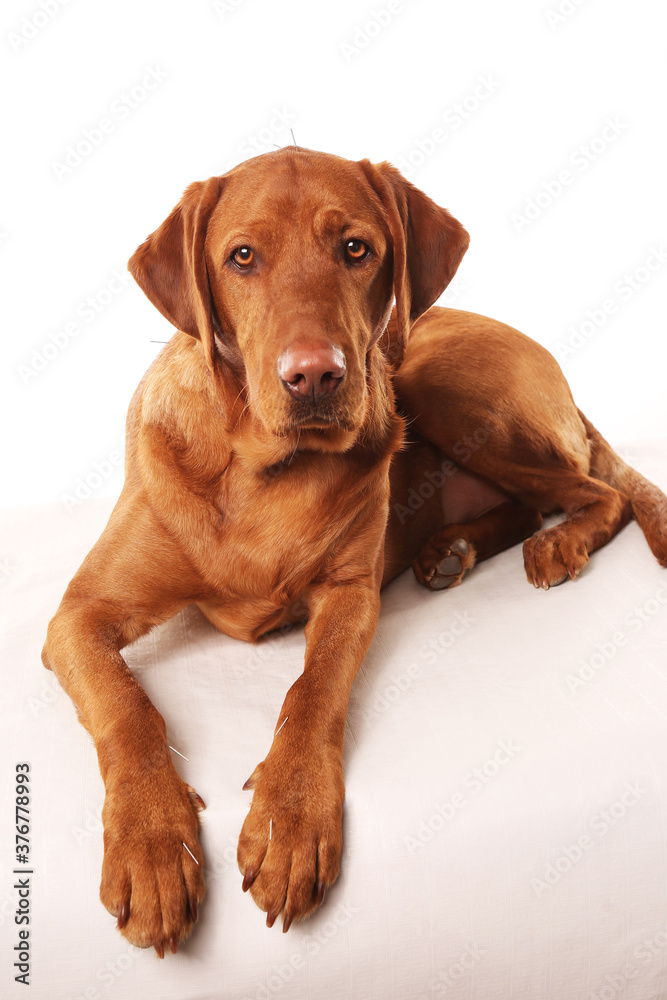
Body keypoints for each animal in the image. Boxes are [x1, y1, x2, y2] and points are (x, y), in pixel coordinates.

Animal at [43, 146, 667, 952]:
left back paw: (554, 545)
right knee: (540, 499)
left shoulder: (349, 593)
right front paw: (152, 841)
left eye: (355, 249)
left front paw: (291, 817)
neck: (263, 472)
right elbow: (127, 707)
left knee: (599, 491)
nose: (315, 374)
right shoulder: (78, 616)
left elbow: (313, 689)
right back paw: (451, 548)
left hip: (441, 385)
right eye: (242, 257)